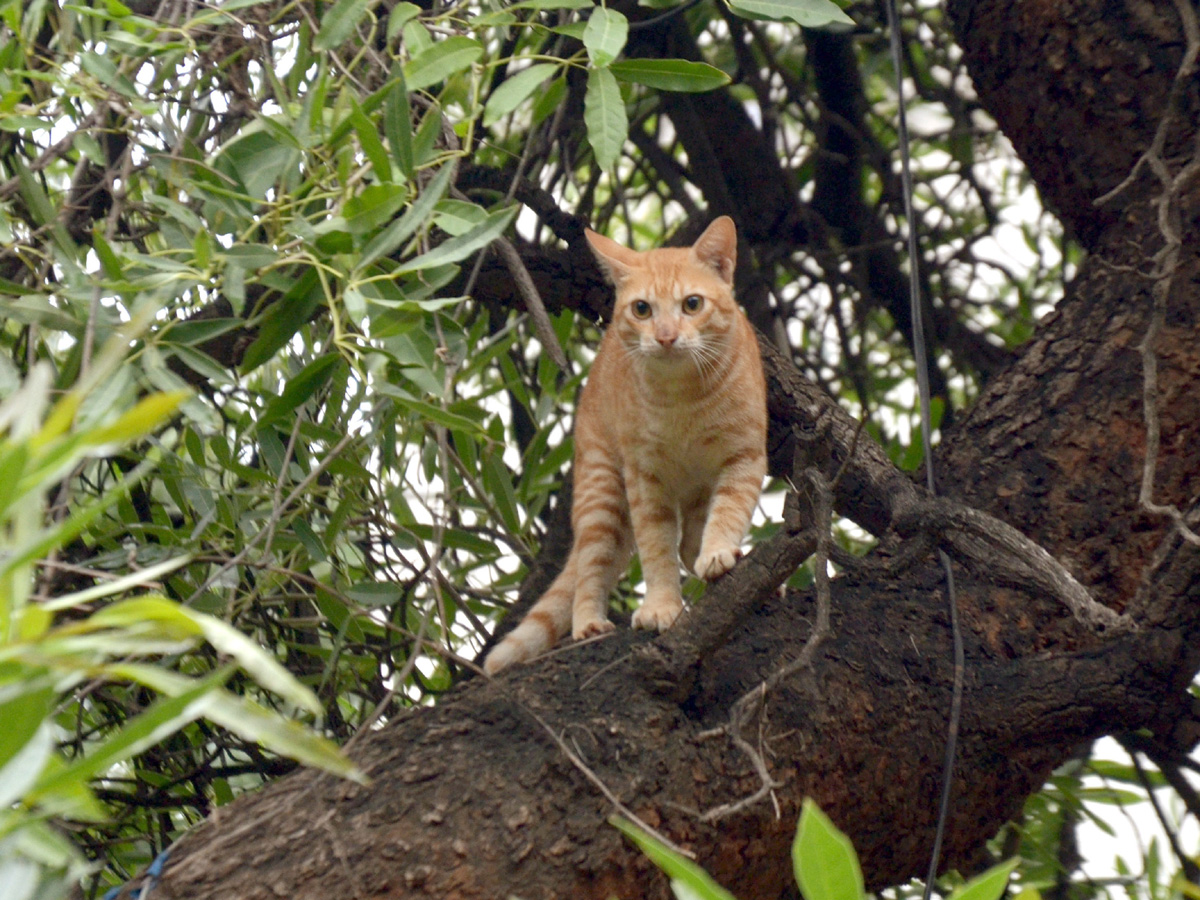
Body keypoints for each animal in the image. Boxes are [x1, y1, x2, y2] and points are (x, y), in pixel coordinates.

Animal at [482, 214, 763, 672]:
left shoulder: (744, 457)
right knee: (589, 568)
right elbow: (656, 549)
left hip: (692, 490)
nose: (665, 336)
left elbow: (728, 514)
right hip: (603, 496)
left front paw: (720, 554)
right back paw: (587, 624)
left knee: (690, 540)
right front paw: (662, 606)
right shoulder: (644, 479)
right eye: (642, 309)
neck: (682, 396)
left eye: (692, 304)